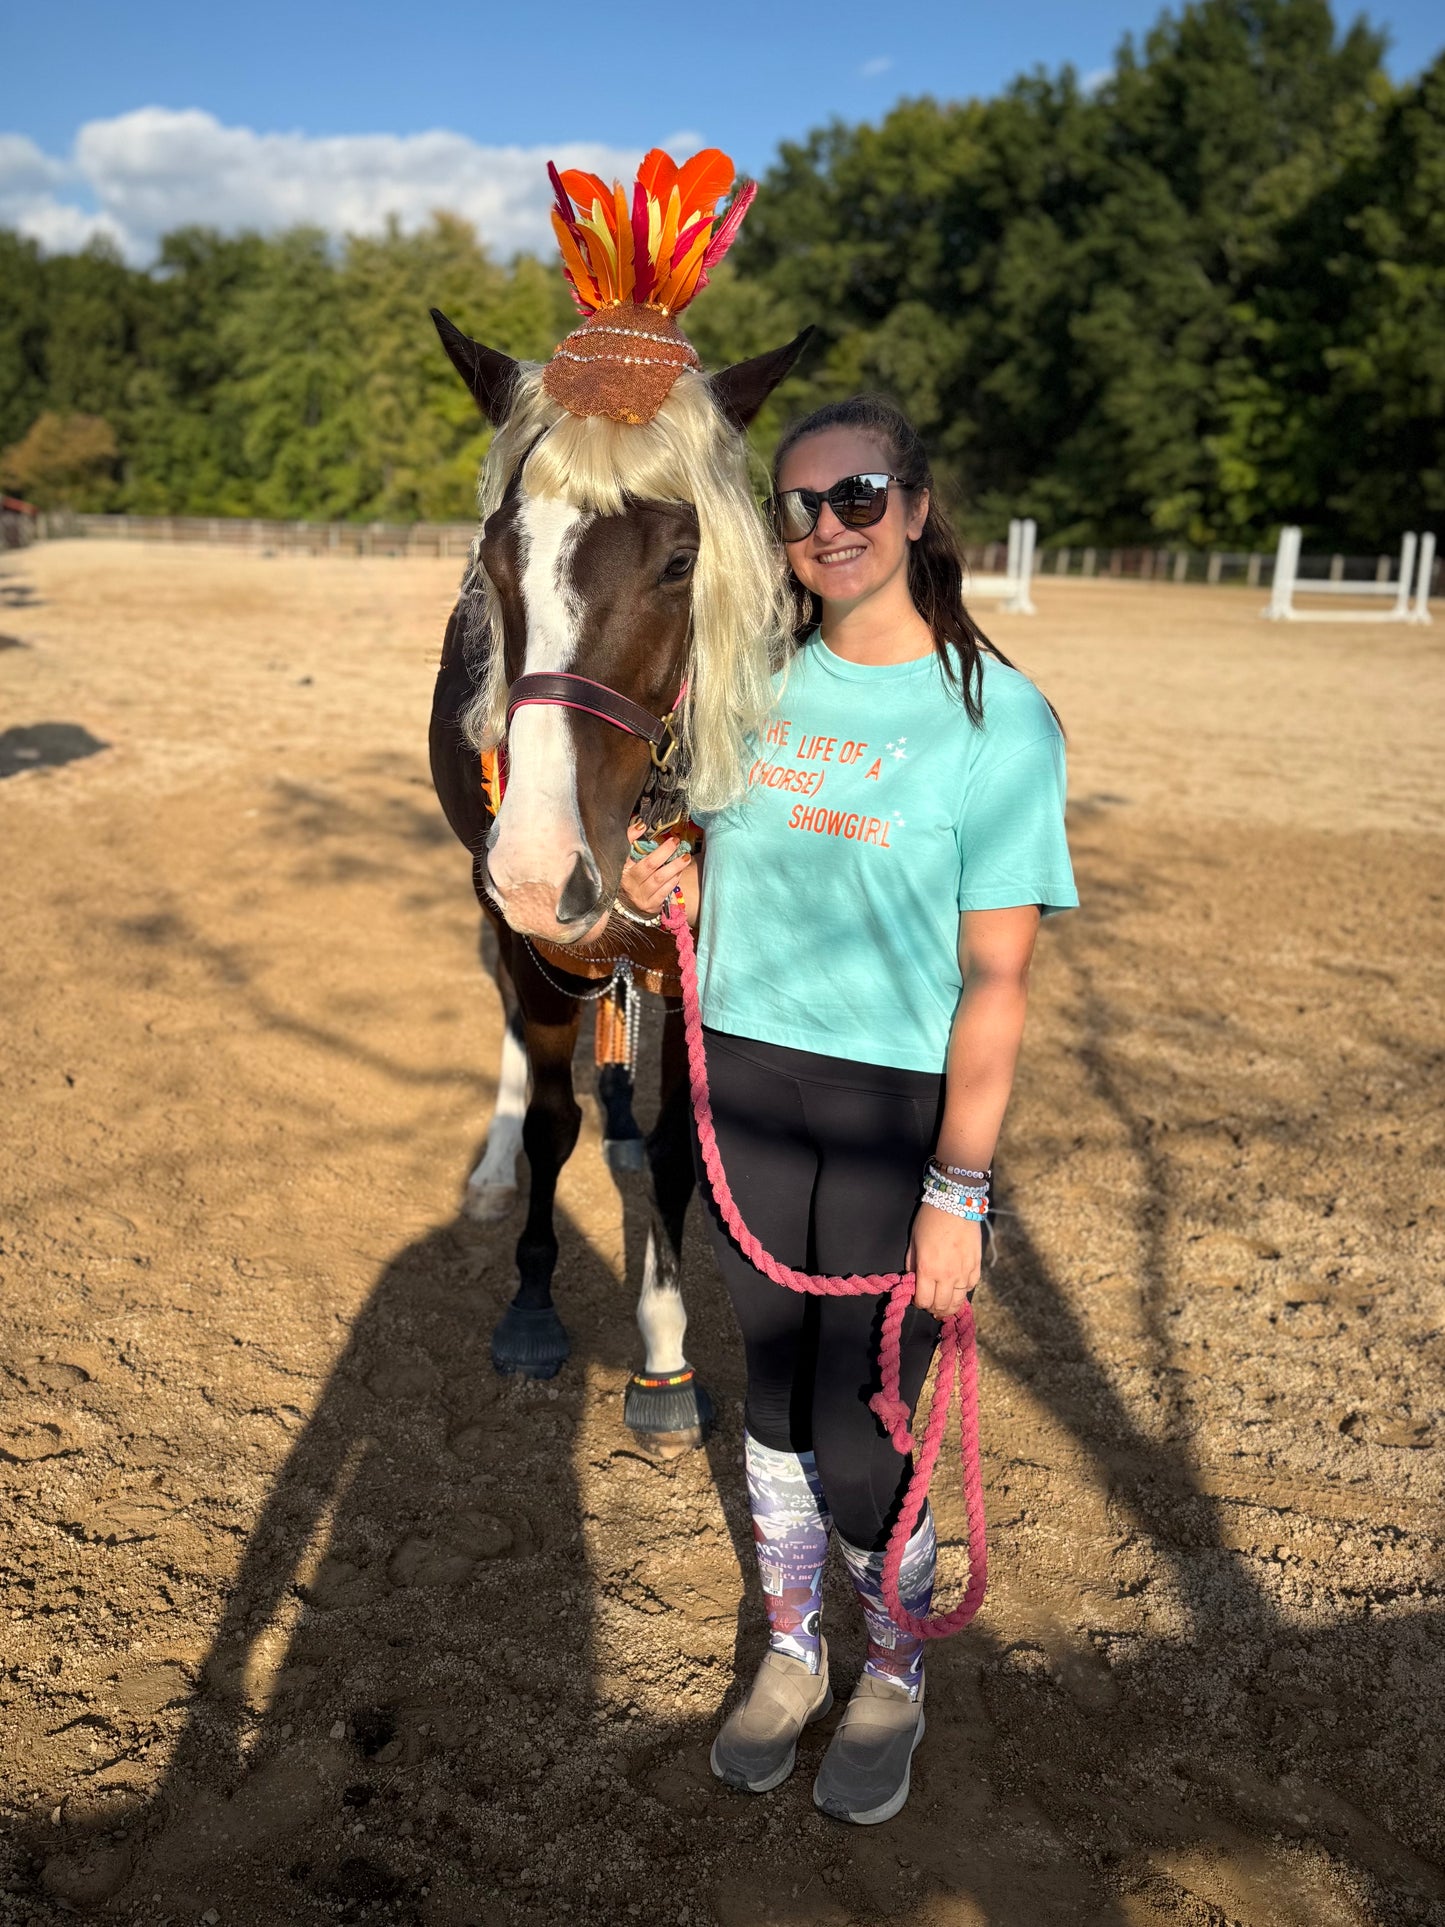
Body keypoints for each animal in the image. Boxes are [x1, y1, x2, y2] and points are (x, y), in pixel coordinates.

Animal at [427, 307, 810, 1450]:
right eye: (491, 556)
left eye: (683, 560)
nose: (538, 864)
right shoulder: (526, 933)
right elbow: (551, 1119)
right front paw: (530, 1307)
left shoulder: (694, 950)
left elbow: (687, 1148)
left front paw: (664, 1350)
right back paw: (495, 1166)